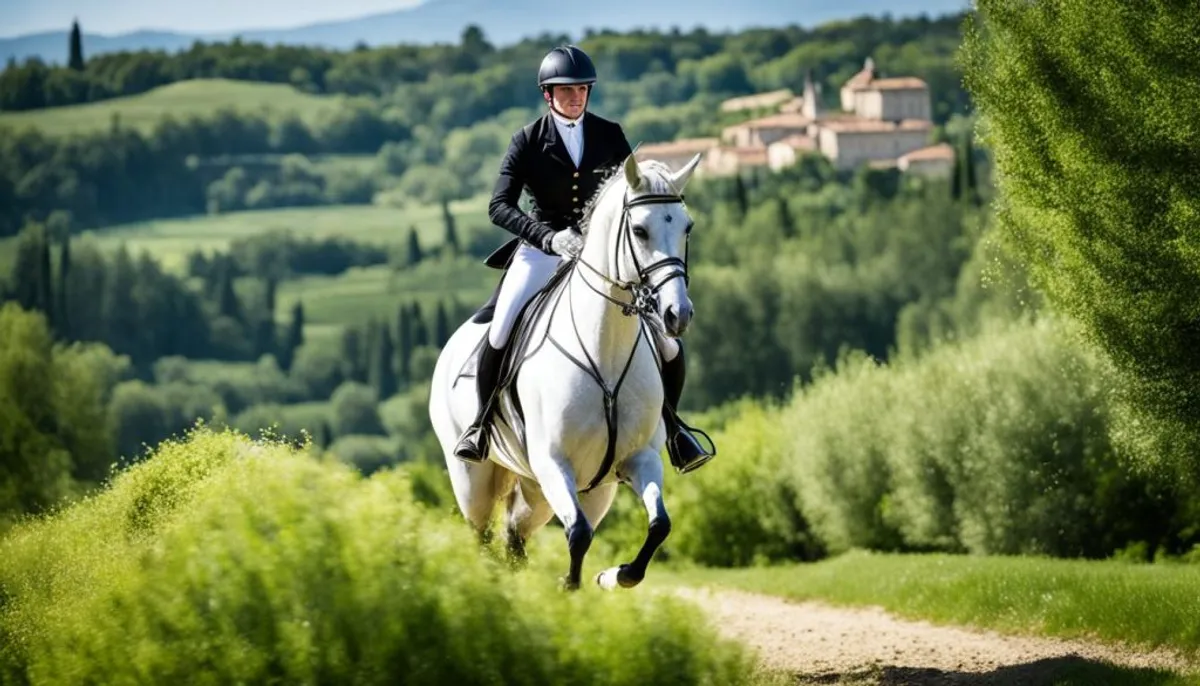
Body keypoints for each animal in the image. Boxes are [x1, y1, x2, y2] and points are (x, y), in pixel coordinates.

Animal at [427, 152, 700, 592]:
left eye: (686, 227)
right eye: (639, 231)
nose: (678, 315)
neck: (604, 350)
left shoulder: (639, 458)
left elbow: (659, 524)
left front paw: (615, 575)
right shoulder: (553, 463)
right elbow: (579, 534)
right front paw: (568, 586)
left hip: (560, 491)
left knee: (515, 537)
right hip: (473, 480)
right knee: (482, 537)